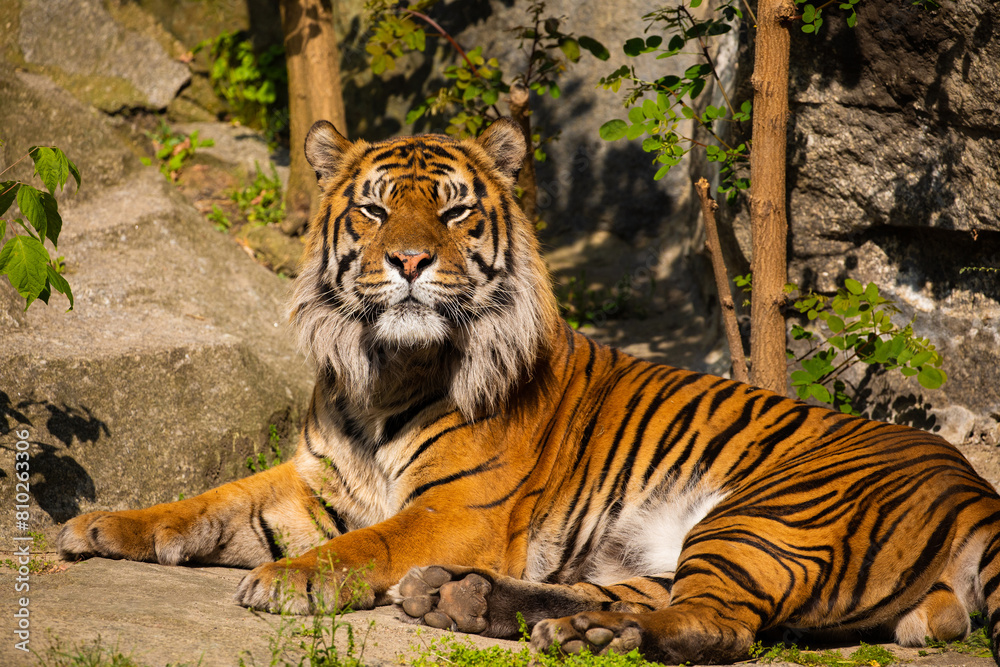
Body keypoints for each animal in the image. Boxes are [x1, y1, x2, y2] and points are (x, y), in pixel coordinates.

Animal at [58, 117, 1000, 665]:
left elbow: (363, 545)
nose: (408, 261)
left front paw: (287, 580)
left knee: (715, 624)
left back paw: (539, 621)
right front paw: (101, 525)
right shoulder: (315, 482)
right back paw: (478, 602)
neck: (381, 369)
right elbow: (207, 501)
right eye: (372, 210)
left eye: (453, 212)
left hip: (765, 513)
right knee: (658, 599)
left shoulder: (457, 510)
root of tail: (974, 484)